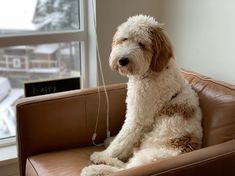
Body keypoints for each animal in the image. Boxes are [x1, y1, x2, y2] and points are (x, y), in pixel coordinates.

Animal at [80, 15, 202, 176]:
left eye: (141, 44)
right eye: (124, 39)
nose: (122, 60)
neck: (151, 72)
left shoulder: (136, 119)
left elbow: (122, 140)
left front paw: (104, 153)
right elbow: (121, 141)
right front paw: (110, 143)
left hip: (148, 157)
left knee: (124, 170)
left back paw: (96, 166)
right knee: (124, 166)